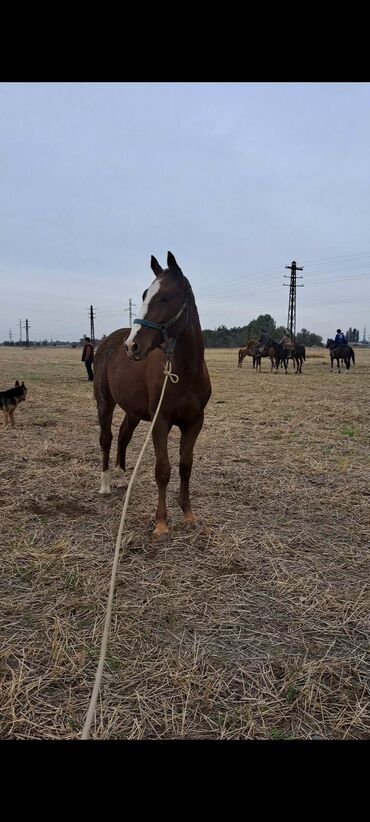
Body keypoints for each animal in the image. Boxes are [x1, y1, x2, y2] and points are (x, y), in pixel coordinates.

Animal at [94, 251, 211, 536]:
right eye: (145, 294)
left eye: (166, 297)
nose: (132, 346)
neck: (185, 372)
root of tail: (110, 340)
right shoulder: (161, 421)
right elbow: (163, 469)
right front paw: (161, 523)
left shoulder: (194, 422)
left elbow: (185, 466)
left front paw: (188, 515)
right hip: (105, 401)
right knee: (106, 437)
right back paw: (106, 484)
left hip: (133, 411)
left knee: (123, 436)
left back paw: (122, 478)